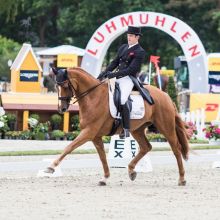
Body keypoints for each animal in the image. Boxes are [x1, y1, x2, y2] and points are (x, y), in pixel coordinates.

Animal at [46, 67, 189, 186]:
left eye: (65, 85)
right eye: (56, 85)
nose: (62, 109)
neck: (93, 97)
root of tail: (166, 95)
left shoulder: (89, 132)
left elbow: (69, 147)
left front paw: (51, 167)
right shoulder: (95, 136)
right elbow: (102, 157)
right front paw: (104, 178)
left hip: (166, 127)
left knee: (176, 149)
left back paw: (182, 179)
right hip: (137, 130)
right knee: (146, 147)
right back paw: (131, 171)